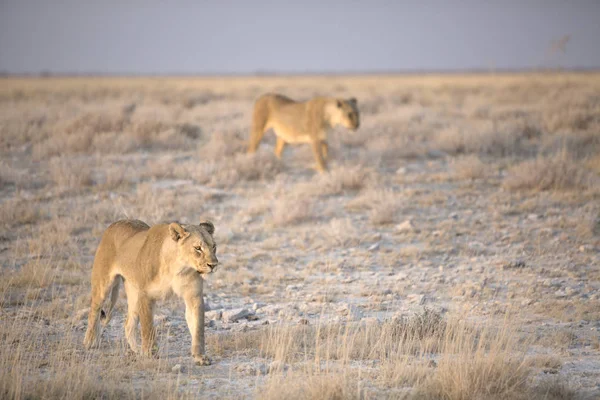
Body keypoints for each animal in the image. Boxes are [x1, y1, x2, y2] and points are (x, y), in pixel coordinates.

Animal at [83, 219, 217, 366]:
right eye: (198, 248)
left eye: (214, 246)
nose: (214, 265)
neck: (178, 268)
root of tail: (115, 224)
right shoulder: (145, 295)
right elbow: (148, 327)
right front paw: (150, 353)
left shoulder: (194, 296)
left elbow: (198, 329)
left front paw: (200, 357)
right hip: (104, 284)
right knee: (94, 311)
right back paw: (90, 342)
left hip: (133, 292)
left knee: (128, 324)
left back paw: (136, 350)